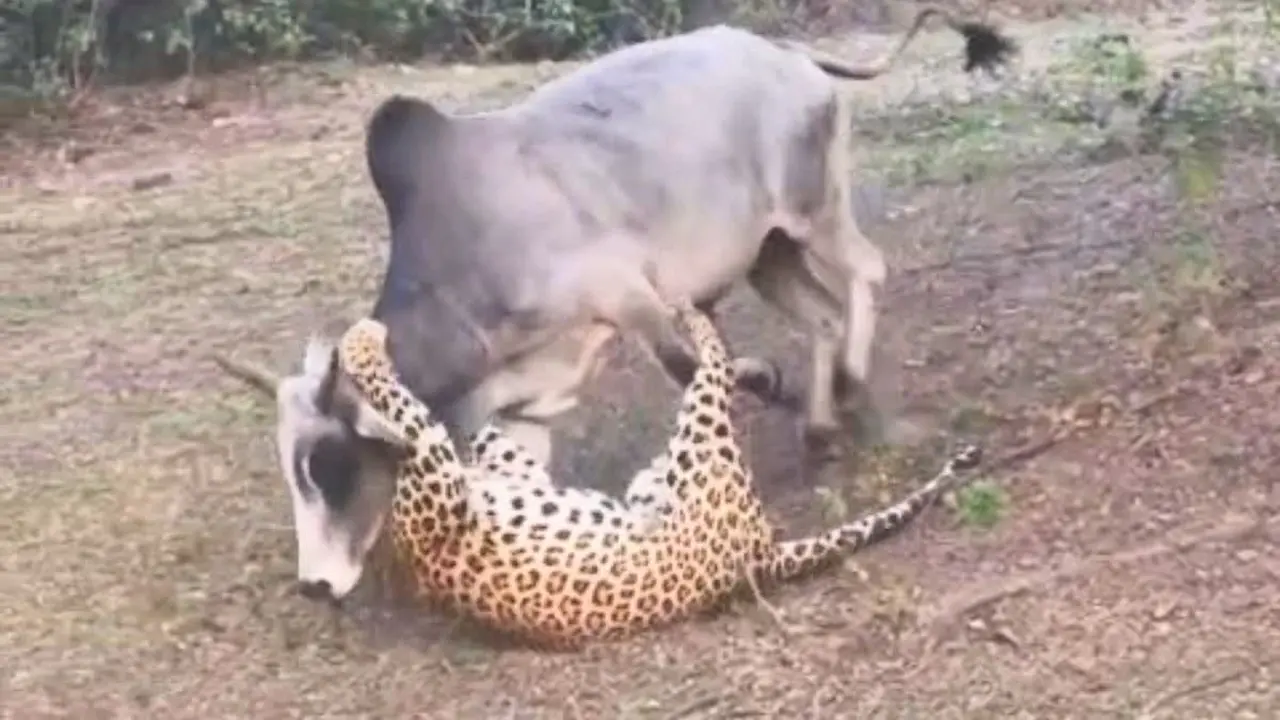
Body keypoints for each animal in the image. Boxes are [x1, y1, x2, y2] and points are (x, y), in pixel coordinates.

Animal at [215, 9, 1012, 599]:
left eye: (327, 464)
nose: (315, 585)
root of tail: (783, 51)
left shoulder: (629, 294)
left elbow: (688, 365)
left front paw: (752, 383)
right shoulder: (522, 405)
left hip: (814, 213)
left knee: (867, 273)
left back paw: (850, 387)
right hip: (768, 252)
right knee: (819, 314)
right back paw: (819, 427)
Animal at [336, 301, 982, 648]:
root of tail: (758, 553)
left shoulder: (475, 468)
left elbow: (476, 430)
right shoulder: (439, 476)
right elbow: (413, 411)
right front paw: (362, 344)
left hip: (673, 466)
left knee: (709, 373)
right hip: (698, 447)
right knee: (709, 373)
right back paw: (693, 319)